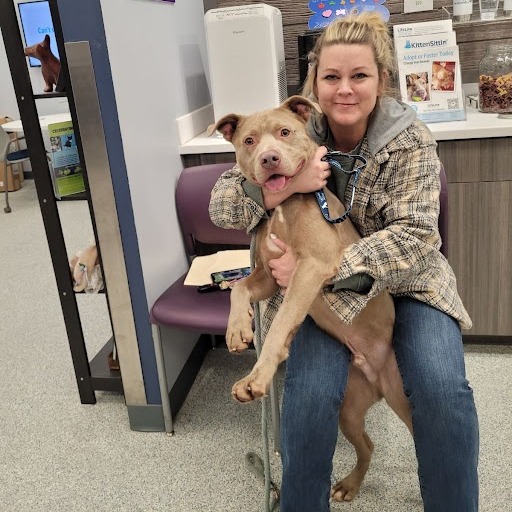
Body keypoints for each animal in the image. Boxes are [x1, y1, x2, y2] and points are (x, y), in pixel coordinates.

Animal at [210, 95, 414, 500]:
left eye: (285, 132)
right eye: (249, 141)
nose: (269, 159)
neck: (284, 204)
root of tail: (374, 371)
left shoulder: (310, 269)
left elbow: (279, 326)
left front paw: (256, 378)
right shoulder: (271, 275)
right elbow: (239, 288)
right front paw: (238, 331)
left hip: (404, 397)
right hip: (348, 408)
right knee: (368, 445)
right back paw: (349, 486)